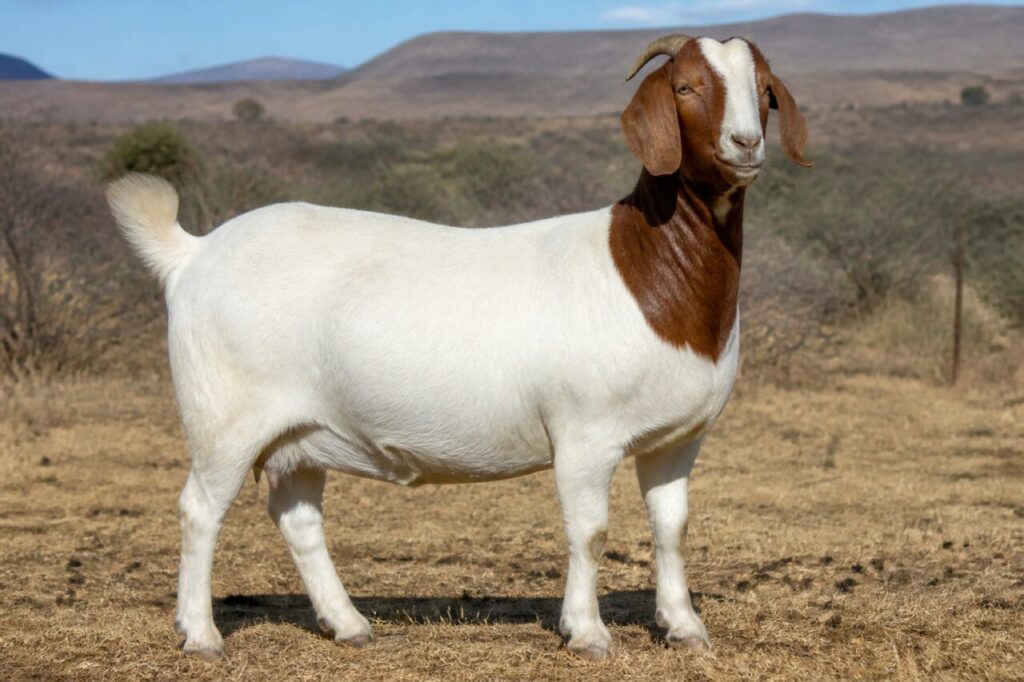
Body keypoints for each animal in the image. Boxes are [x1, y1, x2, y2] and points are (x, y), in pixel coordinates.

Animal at [107, 35, 810, 661]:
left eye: (764, 90)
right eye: (685, 87)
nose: (745, 143)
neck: (644, 269)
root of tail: (192, 253)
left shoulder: (677, 439)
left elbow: (672, 529)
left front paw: (684, 627)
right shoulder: (585, 435)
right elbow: (589, 532)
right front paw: (587, 633)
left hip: (300, 431)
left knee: (298, 517)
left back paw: (349, 624)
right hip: (223, 417)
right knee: (200, 510)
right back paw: (201, 635)